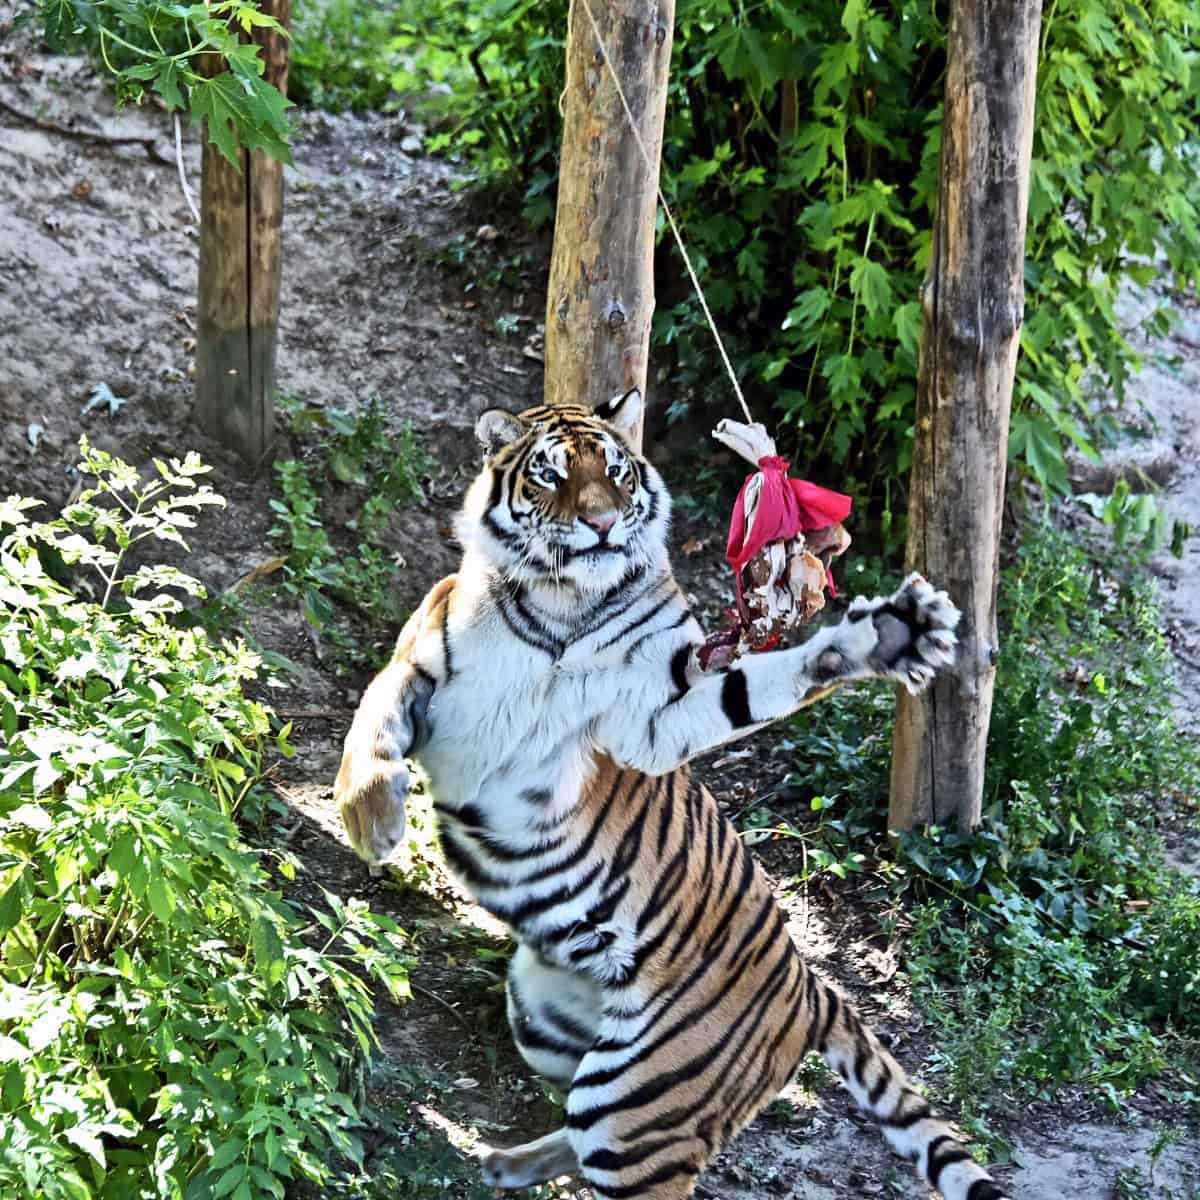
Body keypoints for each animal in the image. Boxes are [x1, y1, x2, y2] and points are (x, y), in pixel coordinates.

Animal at [334, 388, 1010, 1200]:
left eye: (618, 473)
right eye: (550, 476)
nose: (600, 524)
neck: (563, 604)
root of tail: (812, 989)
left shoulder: (652, 718)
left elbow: (752, 688)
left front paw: (885, 638)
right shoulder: (422, 665)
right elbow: (369, 725)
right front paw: (370, 818)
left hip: (634, 1107)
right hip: (543, 1016)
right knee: (569, 1116)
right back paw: (504, 1162)